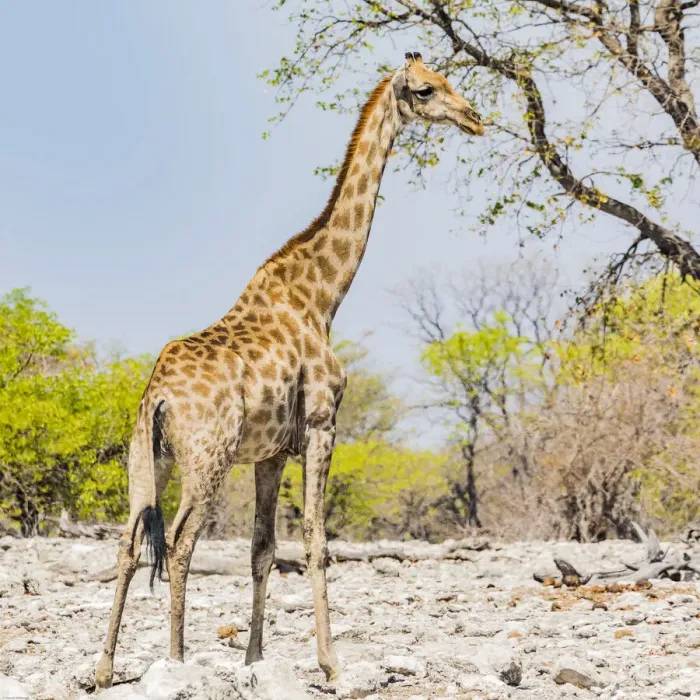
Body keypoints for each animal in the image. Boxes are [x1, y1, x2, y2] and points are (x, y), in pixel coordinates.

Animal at [94, 52, 483, 690]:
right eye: (427, 90)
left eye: (451, 81)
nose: (475, 117)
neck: (322, 296)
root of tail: (158, 397)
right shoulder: (325, 424)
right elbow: (316, 541)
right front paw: (330, 662)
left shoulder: (272, 451)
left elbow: (262, 548)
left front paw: (254, 658)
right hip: (207, 458)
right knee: (178, 542)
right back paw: (176, 660)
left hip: (145, 456)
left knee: (129, 541)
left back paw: (104, 668)